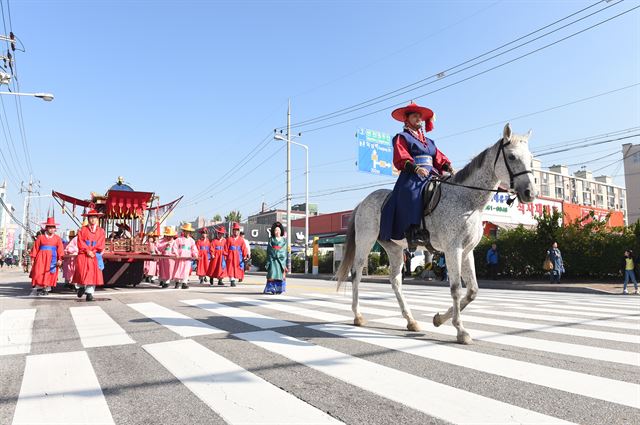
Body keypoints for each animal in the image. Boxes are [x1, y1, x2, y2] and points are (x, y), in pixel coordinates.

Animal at [338, 123, 536, 344]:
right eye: (512, 156)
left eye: (530, 157)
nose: (530, 192)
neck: (468, 201)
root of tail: (362, 202)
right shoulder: (453, 249)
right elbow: (456, 288)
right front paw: (460, 330)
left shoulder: (467, 251)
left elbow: (472, 291)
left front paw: (439, 319)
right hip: (365, 241)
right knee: (356, 274)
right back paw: (358, 315)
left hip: (394, 248)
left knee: (395, 280)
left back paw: (411, 320)